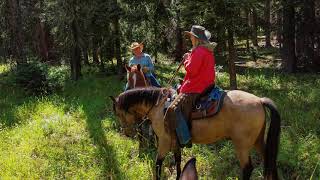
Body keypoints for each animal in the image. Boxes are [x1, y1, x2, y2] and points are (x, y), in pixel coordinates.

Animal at [110, 86, 280, 179]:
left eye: (118, 113)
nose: (127, 133)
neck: (158, 106)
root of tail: (259, 100)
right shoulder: (175, 142)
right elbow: (178, 161)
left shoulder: (164, 141)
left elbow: (158, 164)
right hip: (258, 140)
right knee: (270, 160)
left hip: (242, 146)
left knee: (248, 168)